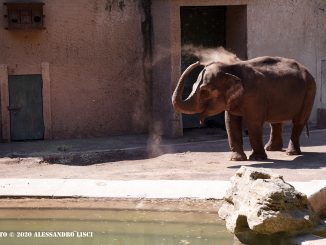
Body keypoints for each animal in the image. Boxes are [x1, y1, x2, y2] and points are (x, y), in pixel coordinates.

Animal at [171, 56, 316, 162]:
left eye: (204, 92)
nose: (198, 62)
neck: (230, 68)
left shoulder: (255, 96)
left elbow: (253, 123)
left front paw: (257, 159)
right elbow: (230, 122)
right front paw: (237, 159)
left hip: (310, 91)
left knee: (298, 121)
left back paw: (290, 153)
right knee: (275, 122)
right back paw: (271, 149)